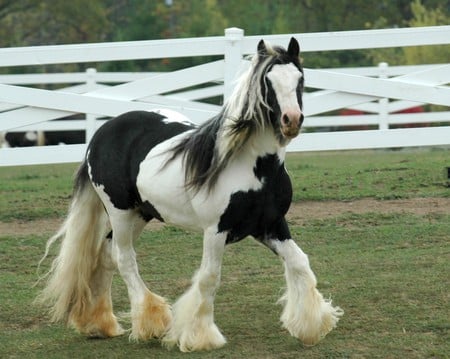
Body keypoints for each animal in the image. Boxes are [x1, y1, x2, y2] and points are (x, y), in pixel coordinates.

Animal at [37, 38, 342, 352]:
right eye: (267, 82)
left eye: (300, 79)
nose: (291, 120)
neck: (254, 167)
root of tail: (101, 134)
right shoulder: (216, 230)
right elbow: (209, 278)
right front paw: (201, 337)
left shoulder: (271, 225)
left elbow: (300, 263)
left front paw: (311, 326)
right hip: (120, 212)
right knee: (123, 258)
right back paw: (151, 322)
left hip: (141, 214)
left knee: (107, 254)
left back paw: (98, 324)